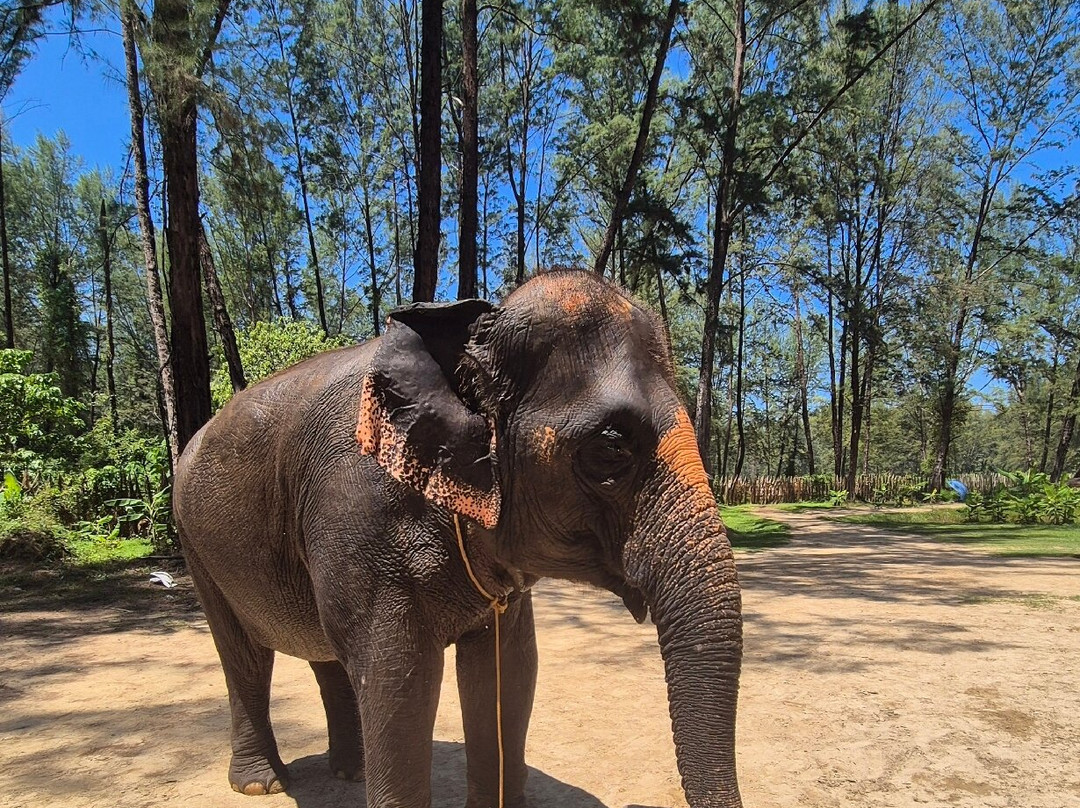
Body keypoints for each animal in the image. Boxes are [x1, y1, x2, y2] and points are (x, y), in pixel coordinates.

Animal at [173, 269, 743, 808]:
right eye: (611, 447)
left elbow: (508, 669)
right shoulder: (357, 517)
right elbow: (398, 679)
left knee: (324, 653)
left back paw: (351, 772)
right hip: (195, 544)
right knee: (244, 656)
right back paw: (261, 784)